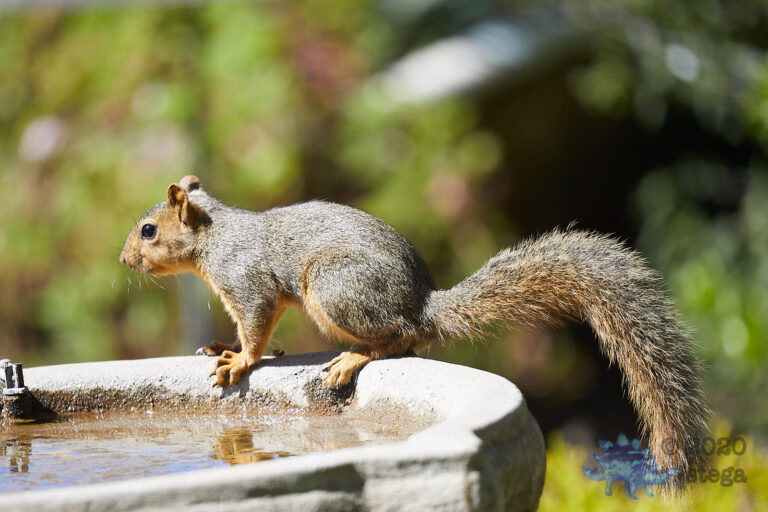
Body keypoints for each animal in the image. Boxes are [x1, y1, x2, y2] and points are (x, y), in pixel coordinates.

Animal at [120, 175, 709, 482]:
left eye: (148, 230)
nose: (124, 260)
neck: (214, 238)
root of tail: (423, 304)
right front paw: (221, 346)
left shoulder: (248, 284)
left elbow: (258, 329)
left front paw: (239, 360)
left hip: (333, 287)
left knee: (401, 338)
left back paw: (355, 357)